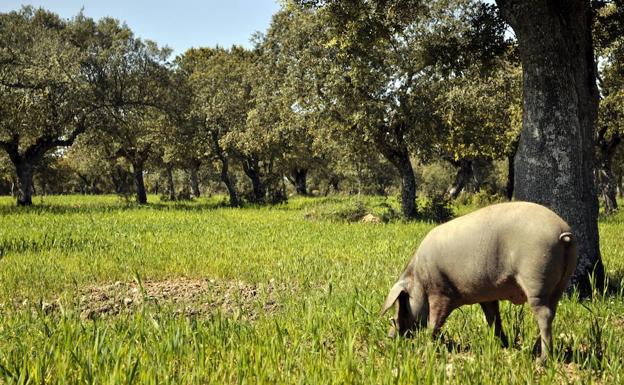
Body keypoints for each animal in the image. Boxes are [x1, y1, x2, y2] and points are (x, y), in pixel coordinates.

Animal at [382, 201, 576, 360]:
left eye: (402, 302)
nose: (390, 336)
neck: (419, 278)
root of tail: (562, 232)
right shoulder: (487, 296)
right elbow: (493, 318)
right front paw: (503, 345)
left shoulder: (441, 292)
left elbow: (435, 320)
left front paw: (427, 345)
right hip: (560, 284)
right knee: (552, 312)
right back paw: (536, 351)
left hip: (535, 277)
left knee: (543, 314)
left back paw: (542, 359)